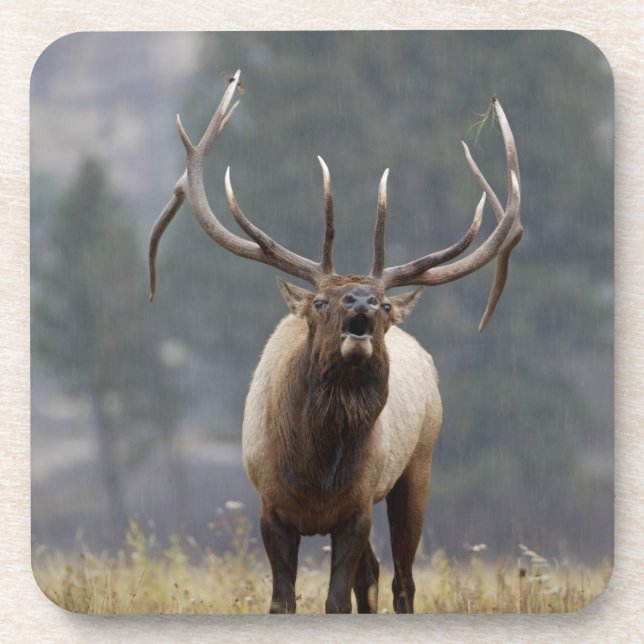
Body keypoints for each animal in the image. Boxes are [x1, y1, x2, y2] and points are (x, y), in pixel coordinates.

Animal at [148, 71, 522, 614]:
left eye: (384, 306)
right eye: (321, 302)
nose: (361, 302)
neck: (317, 474)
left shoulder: (357, 507)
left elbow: (337, 600)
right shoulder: (270, 507)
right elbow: (283, 601)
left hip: (418, 468)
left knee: (401, 579)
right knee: (375, 574)